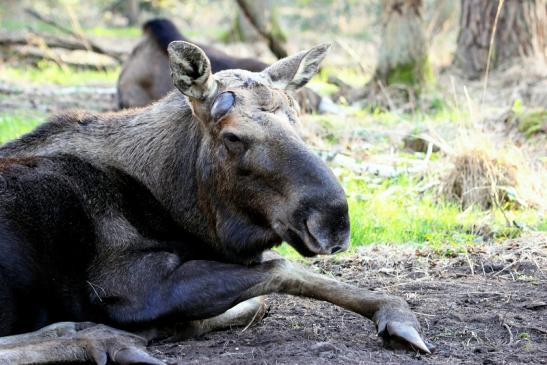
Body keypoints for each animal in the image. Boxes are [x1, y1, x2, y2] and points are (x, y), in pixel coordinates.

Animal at [0, 42, 430, 362]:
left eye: (297, 120)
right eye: (233, 136)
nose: (333, 220)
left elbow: (260, 299)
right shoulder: (129, 285)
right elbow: (280, 270)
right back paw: (105, 339)